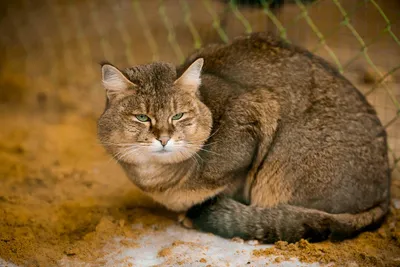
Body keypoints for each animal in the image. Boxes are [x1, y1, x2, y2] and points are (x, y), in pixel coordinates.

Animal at [97, 32, 390, 244]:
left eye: (177, 116)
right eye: (142, 117)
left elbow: (230, 184)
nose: (164, 138)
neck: (159, 179)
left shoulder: (258, 111)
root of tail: (385, 197)